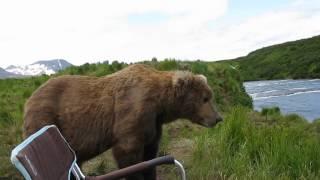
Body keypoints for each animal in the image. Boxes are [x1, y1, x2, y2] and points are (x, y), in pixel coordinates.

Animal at [23, 64, 222, 179]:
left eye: (210, 96)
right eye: (205, 98)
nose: (218, 118)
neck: (160, 104)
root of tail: (29, 99)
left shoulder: (153, 124)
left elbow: (150, 153)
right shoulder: (132, 113)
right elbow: (128, 153)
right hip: (46, 118)